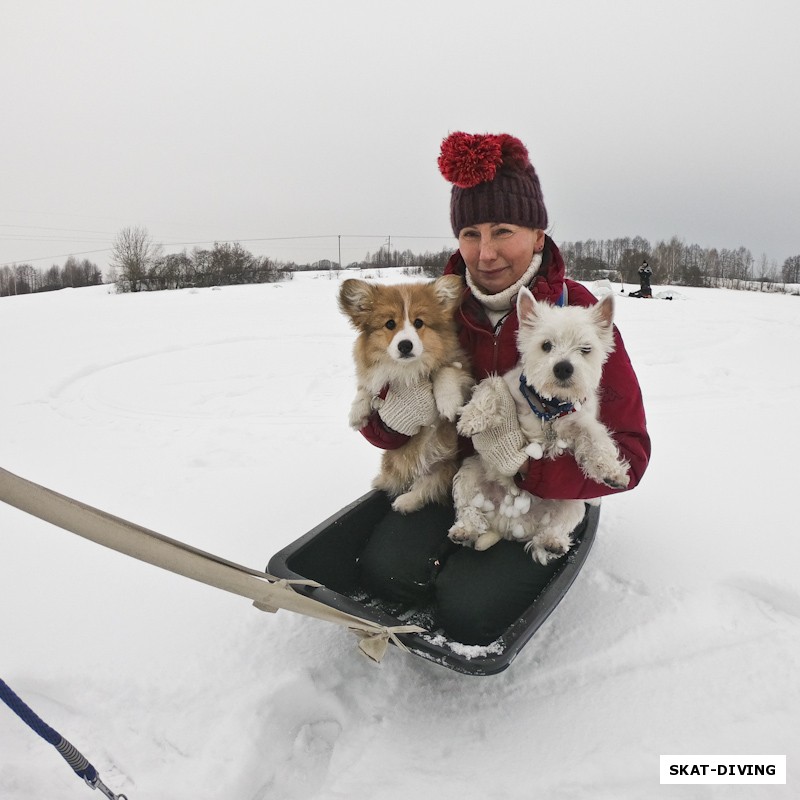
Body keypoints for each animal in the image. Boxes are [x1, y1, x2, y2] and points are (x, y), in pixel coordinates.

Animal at [340, 276, 476, 512]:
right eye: (390, 324)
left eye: (419, 322)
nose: (405, 346)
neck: (406, 371)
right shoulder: (378, 380)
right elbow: (367, 387)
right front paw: (357, 413)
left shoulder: (460, 364)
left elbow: (446, 372)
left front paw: (448, 403)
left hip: (443, 468)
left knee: (425, 488)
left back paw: (404, 502)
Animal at [450, 288, 632, 564]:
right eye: (546, 345)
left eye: (585, 349)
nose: (563, 368)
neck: (548, 407)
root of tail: (507, 524)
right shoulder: (508, 384)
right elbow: (490, 388)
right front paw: (472, 418)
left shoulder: (580, 421)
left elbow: (596, 438)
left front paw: (613, 472)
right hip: (470, 473)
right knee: (468, 509)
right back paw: (464, 530)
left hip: (572, 502)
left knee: (552, 528)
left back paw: (552, 543)